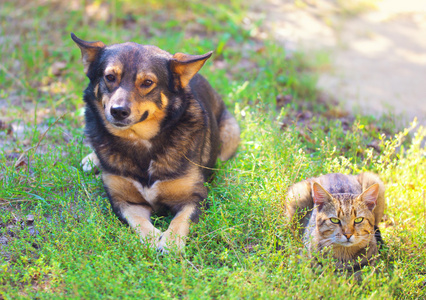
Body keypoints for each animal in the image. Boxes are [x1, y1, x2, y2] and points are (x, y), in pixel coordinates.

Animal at [71, 32, 241, 252]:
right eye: (109, 77)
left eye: (147, 82)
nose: (118, 111)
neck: (141, 141)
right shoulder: (124, 201)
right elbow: (138, 221)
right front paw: (152, 239)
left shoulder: (194, 197)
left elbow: (181, 220)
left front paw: (170, 243)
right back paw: (93, 159)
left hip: (230, 135)